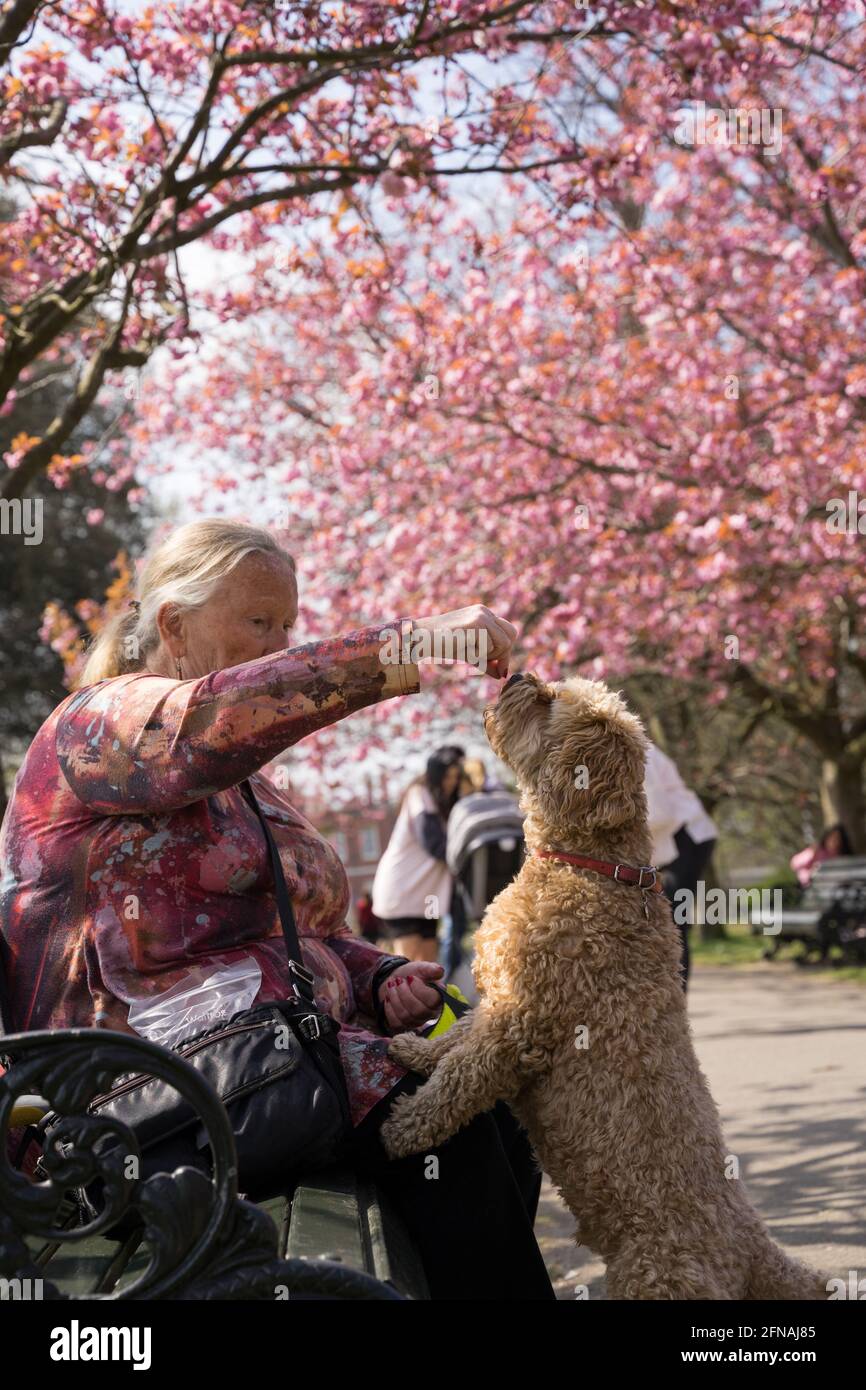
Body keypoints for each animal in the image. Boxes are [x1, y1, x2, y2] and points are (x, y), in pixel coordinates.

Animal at [383, 672, 828, 1301]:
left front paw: (405, 1128)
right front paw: (413, 1047)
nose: (517, 676)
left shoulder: (520, 1025)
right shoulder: (498, 1003)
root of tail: (755, 1249)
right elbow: (453, 1040)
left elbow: (458, 1081)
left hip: (654, 1276)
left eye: (550, 703)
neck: (591, 868)